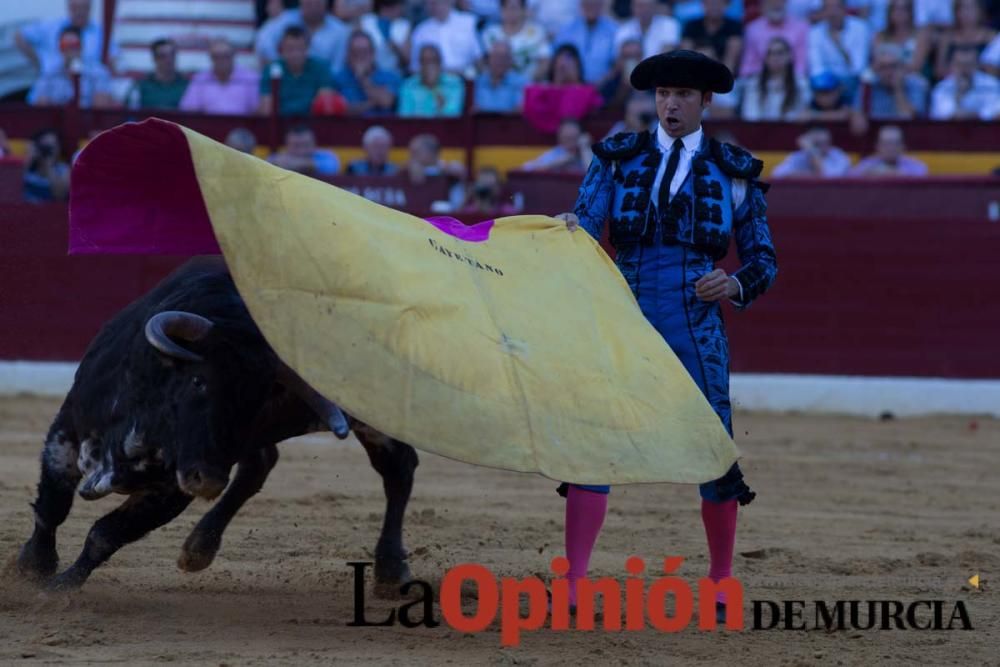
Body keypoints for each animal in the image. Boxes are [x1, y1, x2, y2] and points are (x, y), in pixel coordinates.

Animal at [19, 258, 418, 592]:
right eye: (198, 381)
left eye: (259, 399)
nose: (209, 481)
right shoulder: (66, 430)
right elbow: (53, 506)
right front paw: (31, 566)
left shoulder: (172, 487)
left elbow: (106, 533)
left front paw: (60, 586)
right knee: (260, 465)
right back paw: (198, 548)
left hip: (380, 421)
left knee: (398, 468)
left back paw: (390, 569)